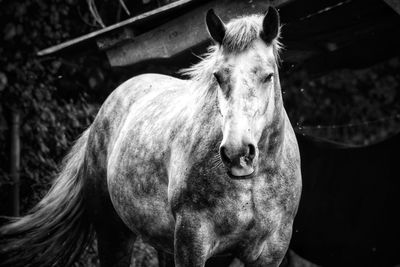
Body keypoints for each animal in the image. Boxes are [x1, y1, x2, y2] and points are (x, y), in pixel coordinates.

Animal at [0, 6, 300, 267]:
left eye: (268, 76)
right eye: (217, 76)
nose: (238, 154)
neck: (251, 184)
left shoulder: (271, 252)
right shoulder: (192, 242)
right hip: (113, 234)